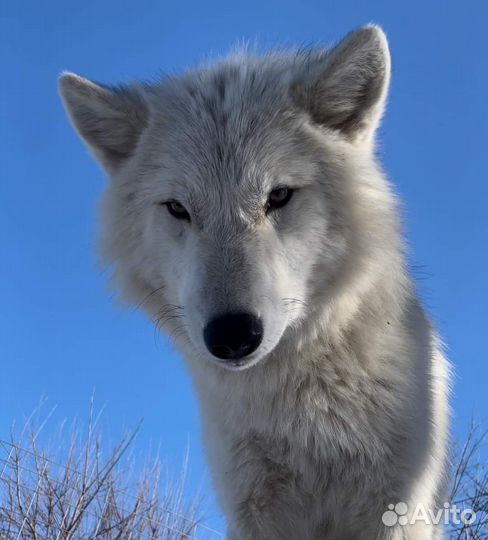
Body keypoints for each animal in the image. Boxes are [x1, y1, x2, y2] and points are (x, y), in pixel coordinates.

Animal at [59, 26, 452, 540]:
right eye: (178, 209)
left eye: (278, 195)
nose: (232, 335)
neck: (304, 418)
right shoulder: (253, 507)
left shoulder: (397, 503)